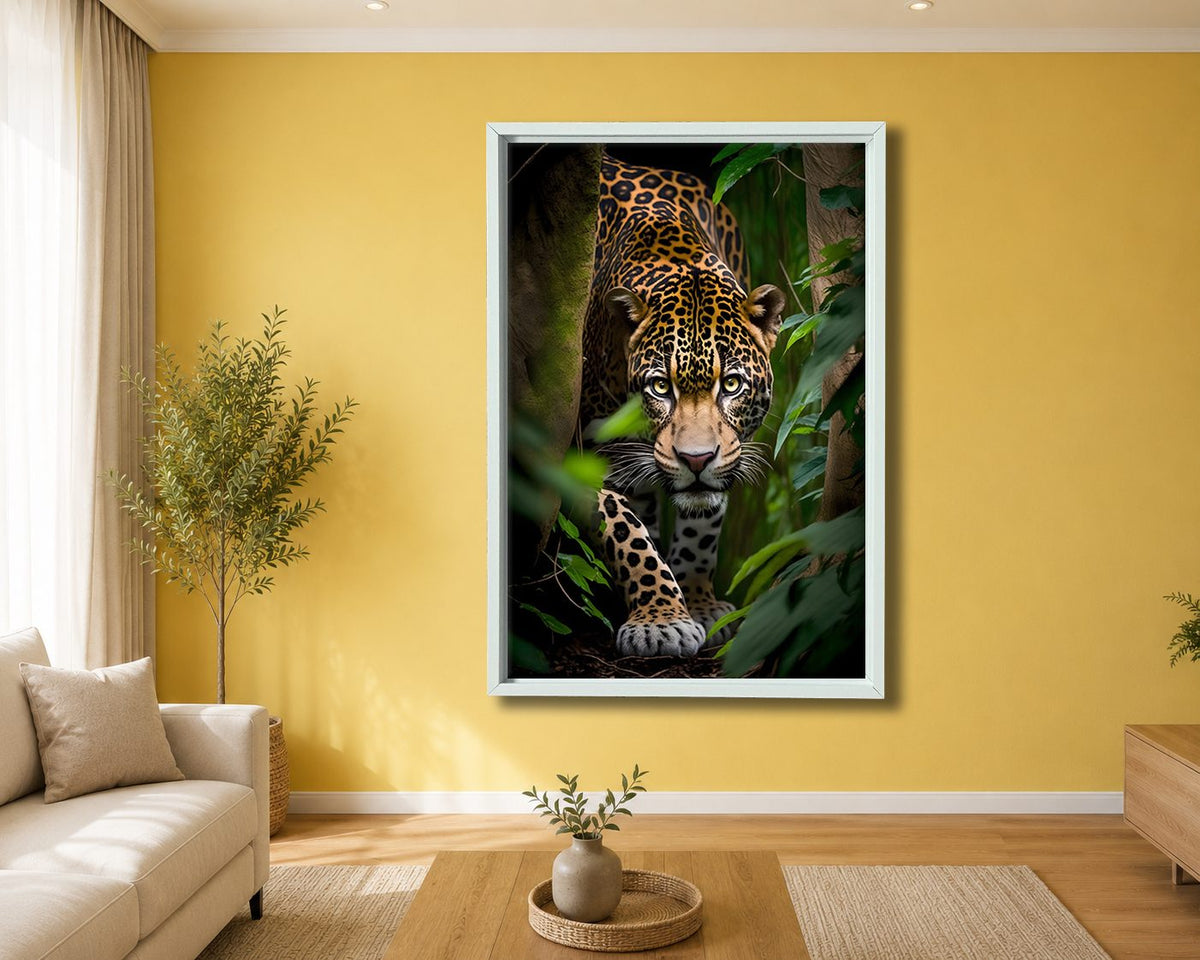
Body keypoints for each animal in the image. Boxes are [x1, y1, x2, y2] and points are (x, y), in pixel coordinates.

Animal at [580, 152, 785, 659]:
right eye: (659, 388)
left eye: (731, 384)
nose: (696, 460)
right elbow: (626, 532)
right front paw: (661, 620)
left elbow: (702, 527)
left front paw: (698, 603)